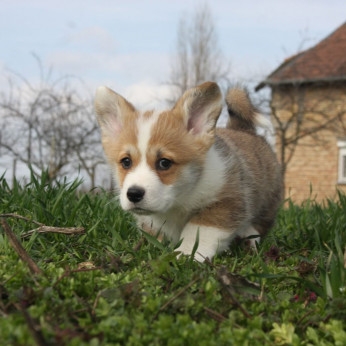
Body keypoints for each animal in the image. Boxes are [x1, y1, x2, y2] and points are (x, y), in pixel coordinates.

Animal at [95, 83, 284, 262]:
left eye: (164, 163)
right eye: (126, 162)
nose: (133, 194)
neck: (180, 199)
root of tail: (243, 129)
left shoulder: (226, 202)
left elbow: (198, 231)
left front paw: (185, 255)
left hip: (268, 199)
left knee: (260, 223)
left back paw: (249, 240)